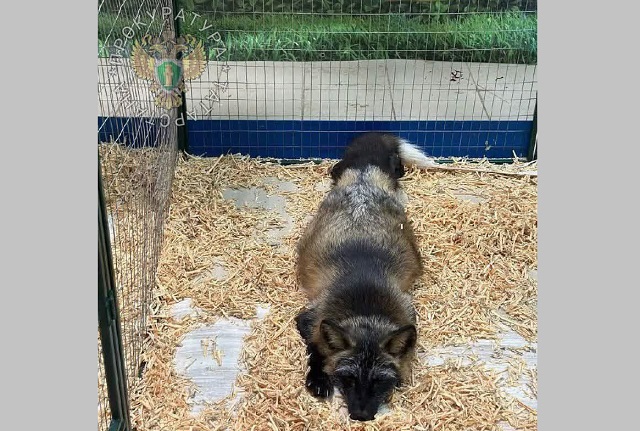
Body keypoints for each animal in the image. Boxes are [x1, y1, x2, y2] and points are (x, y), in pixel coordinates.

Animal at [294, 132, 437, 421]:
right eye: (348, 379)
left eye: (379, 382)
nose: (361, 415)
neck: (365, 301)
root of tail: (364, 176)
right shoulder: (309, 318)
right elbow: (316, 348)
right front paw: (318, 379)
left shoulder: (408, 312)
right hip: (339, 170)